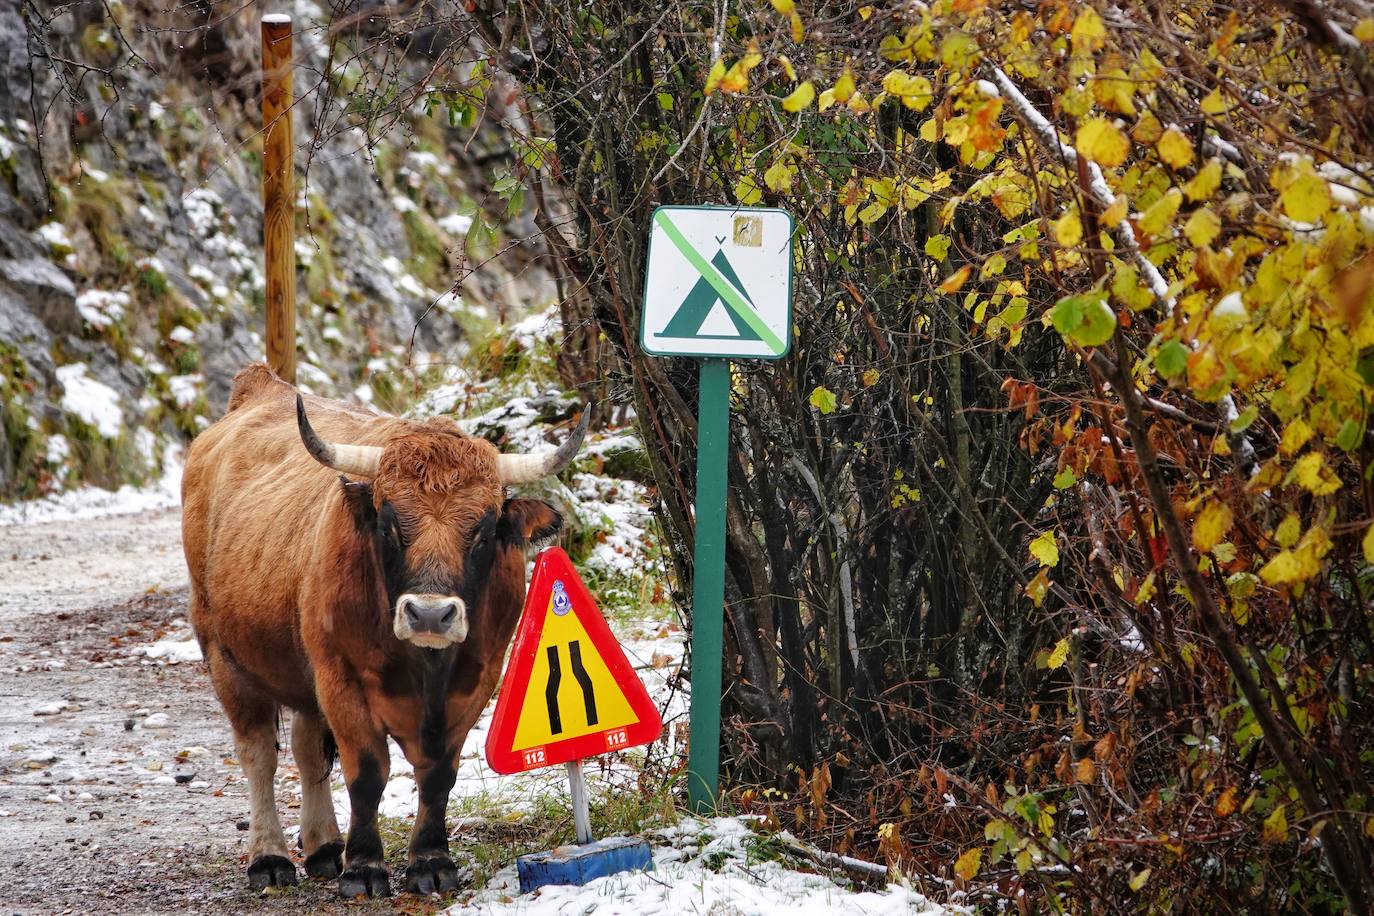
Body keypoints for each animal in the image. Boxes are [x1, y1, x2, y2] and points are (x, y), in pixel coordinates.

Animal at [179, 365, 588, 895]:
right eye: (391, 524)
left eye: (481, 529)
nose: (430, 615)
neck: (424, 664)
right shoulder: (341, 678)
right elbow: (368, 773)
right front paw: (365, 867)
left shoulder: (477, 680)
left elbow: (438, 773)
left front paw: (430, 861)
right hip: (226, 659)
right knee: (259, 755)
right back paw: (269, 858)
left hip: (303, 675)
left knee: (307, 750)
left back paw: (324, 847)